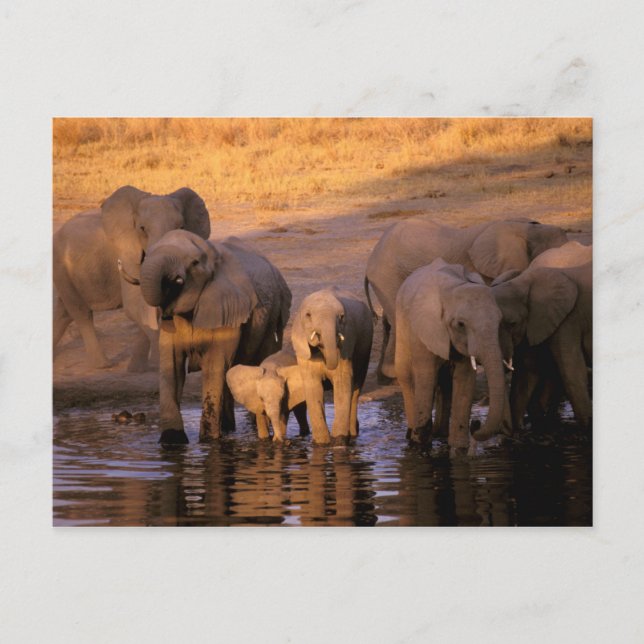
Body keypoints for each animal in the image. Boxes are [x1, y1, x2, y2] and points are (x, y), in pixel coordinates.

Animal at [53, 185, 210, 371]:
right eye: (142, 228)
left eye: (182, 227)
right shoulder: (127, 251)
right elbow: (136, 305)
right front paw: (157, 364)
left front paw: (137, 369)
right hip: (60, 266)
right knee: (80, 312)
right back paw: (103, 365)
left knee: (64, 314)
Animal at [138, 230, 292, 445]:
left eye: (194, 263)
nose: (174, 280)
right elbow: (171, 365)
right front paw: (172, 441)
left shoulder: (227, 308)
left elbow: (214, 364)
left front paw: (208, 441)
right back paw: (228, 429)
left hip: (273, 316)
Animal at [291, 288, 373, 445]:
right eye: (308, 315)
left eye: (341, 317)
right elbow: (314, 388)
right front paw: (321, 443)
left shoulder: (347, 342)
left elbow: (342, 383)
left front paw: (338, 441)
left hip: (365, 347)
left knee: (356, 389)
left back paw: (353, 434)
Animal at [395, 258, 512, 448]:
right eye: (461, 324)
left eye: (500, 321)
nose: (476, 424)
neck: (453, 288)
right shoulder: (424, 329)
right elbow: (426, 376)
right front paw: (420, 445)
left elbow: (464, 378)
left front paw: (458, 447)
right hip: (401, 319)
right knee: (406, 375)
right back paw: (410, 435)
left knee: (445, 382)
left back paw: (441, 434)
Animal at [492, 261, 592, 431]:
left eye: (512, 324)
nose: (507, 428)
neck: (524, 281)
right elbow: (528, 371)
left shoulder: (568, 319)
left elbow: (572, 371)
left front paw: (587, 427)